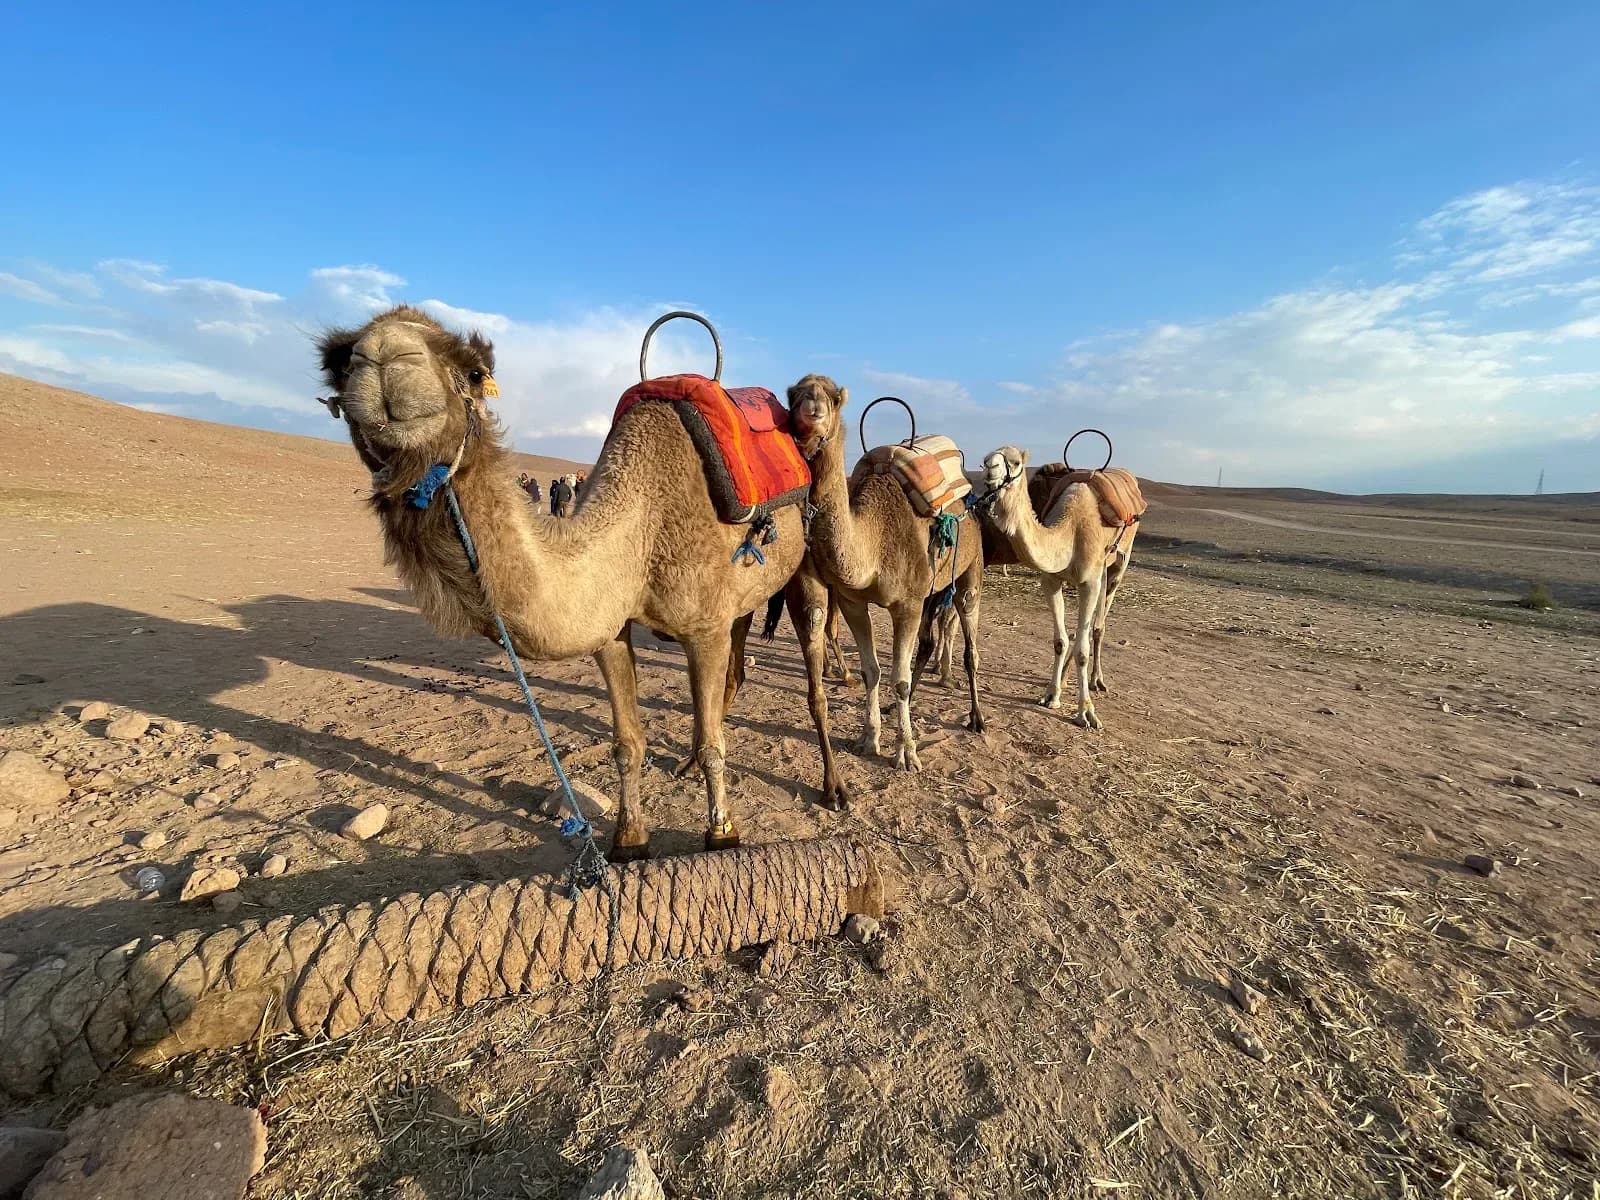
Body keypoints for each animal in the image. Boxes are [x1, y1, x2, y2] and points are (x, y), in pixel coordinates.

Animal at [315, 306, 807, 859]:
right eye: (337, 362)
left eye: (474, 370)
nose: (385, 353)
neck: (643, 523)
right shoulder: (611, 628)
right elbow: (627, 742)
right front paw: (628, 839)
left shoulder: (704, 626)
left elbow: (712, 743)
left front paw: (721, 832)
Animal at [786, 375, 985, 773]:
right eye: (792, 395)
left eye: (833, 397)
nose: (809, 410)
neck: (873, 543)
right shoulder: (851, 601)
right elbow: (873, 671)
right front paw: (869, 739)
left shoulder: (906, 603)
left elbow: (900, 678)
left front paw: (906, 753)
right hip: (932, 588)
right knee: (926, 644)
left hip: (971, 569)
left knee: (970, 641)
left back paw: (977, 718)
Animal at [979, 446, 1138, 729]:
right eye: (985, 458)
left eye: (1015, 462)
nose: (990, 467)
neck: (1069, 532)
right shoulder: (1051, 580)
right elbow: (1060, 641)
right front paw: (1052, 694)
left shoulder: (1089, 582)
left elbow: (1083, 649)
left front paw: (1086, 712)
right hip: (1102, 569)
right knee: (1085, 630)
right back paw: (1066, 679)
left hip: (1119, 563)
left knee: (1098, 626)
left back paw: (1097, 681)